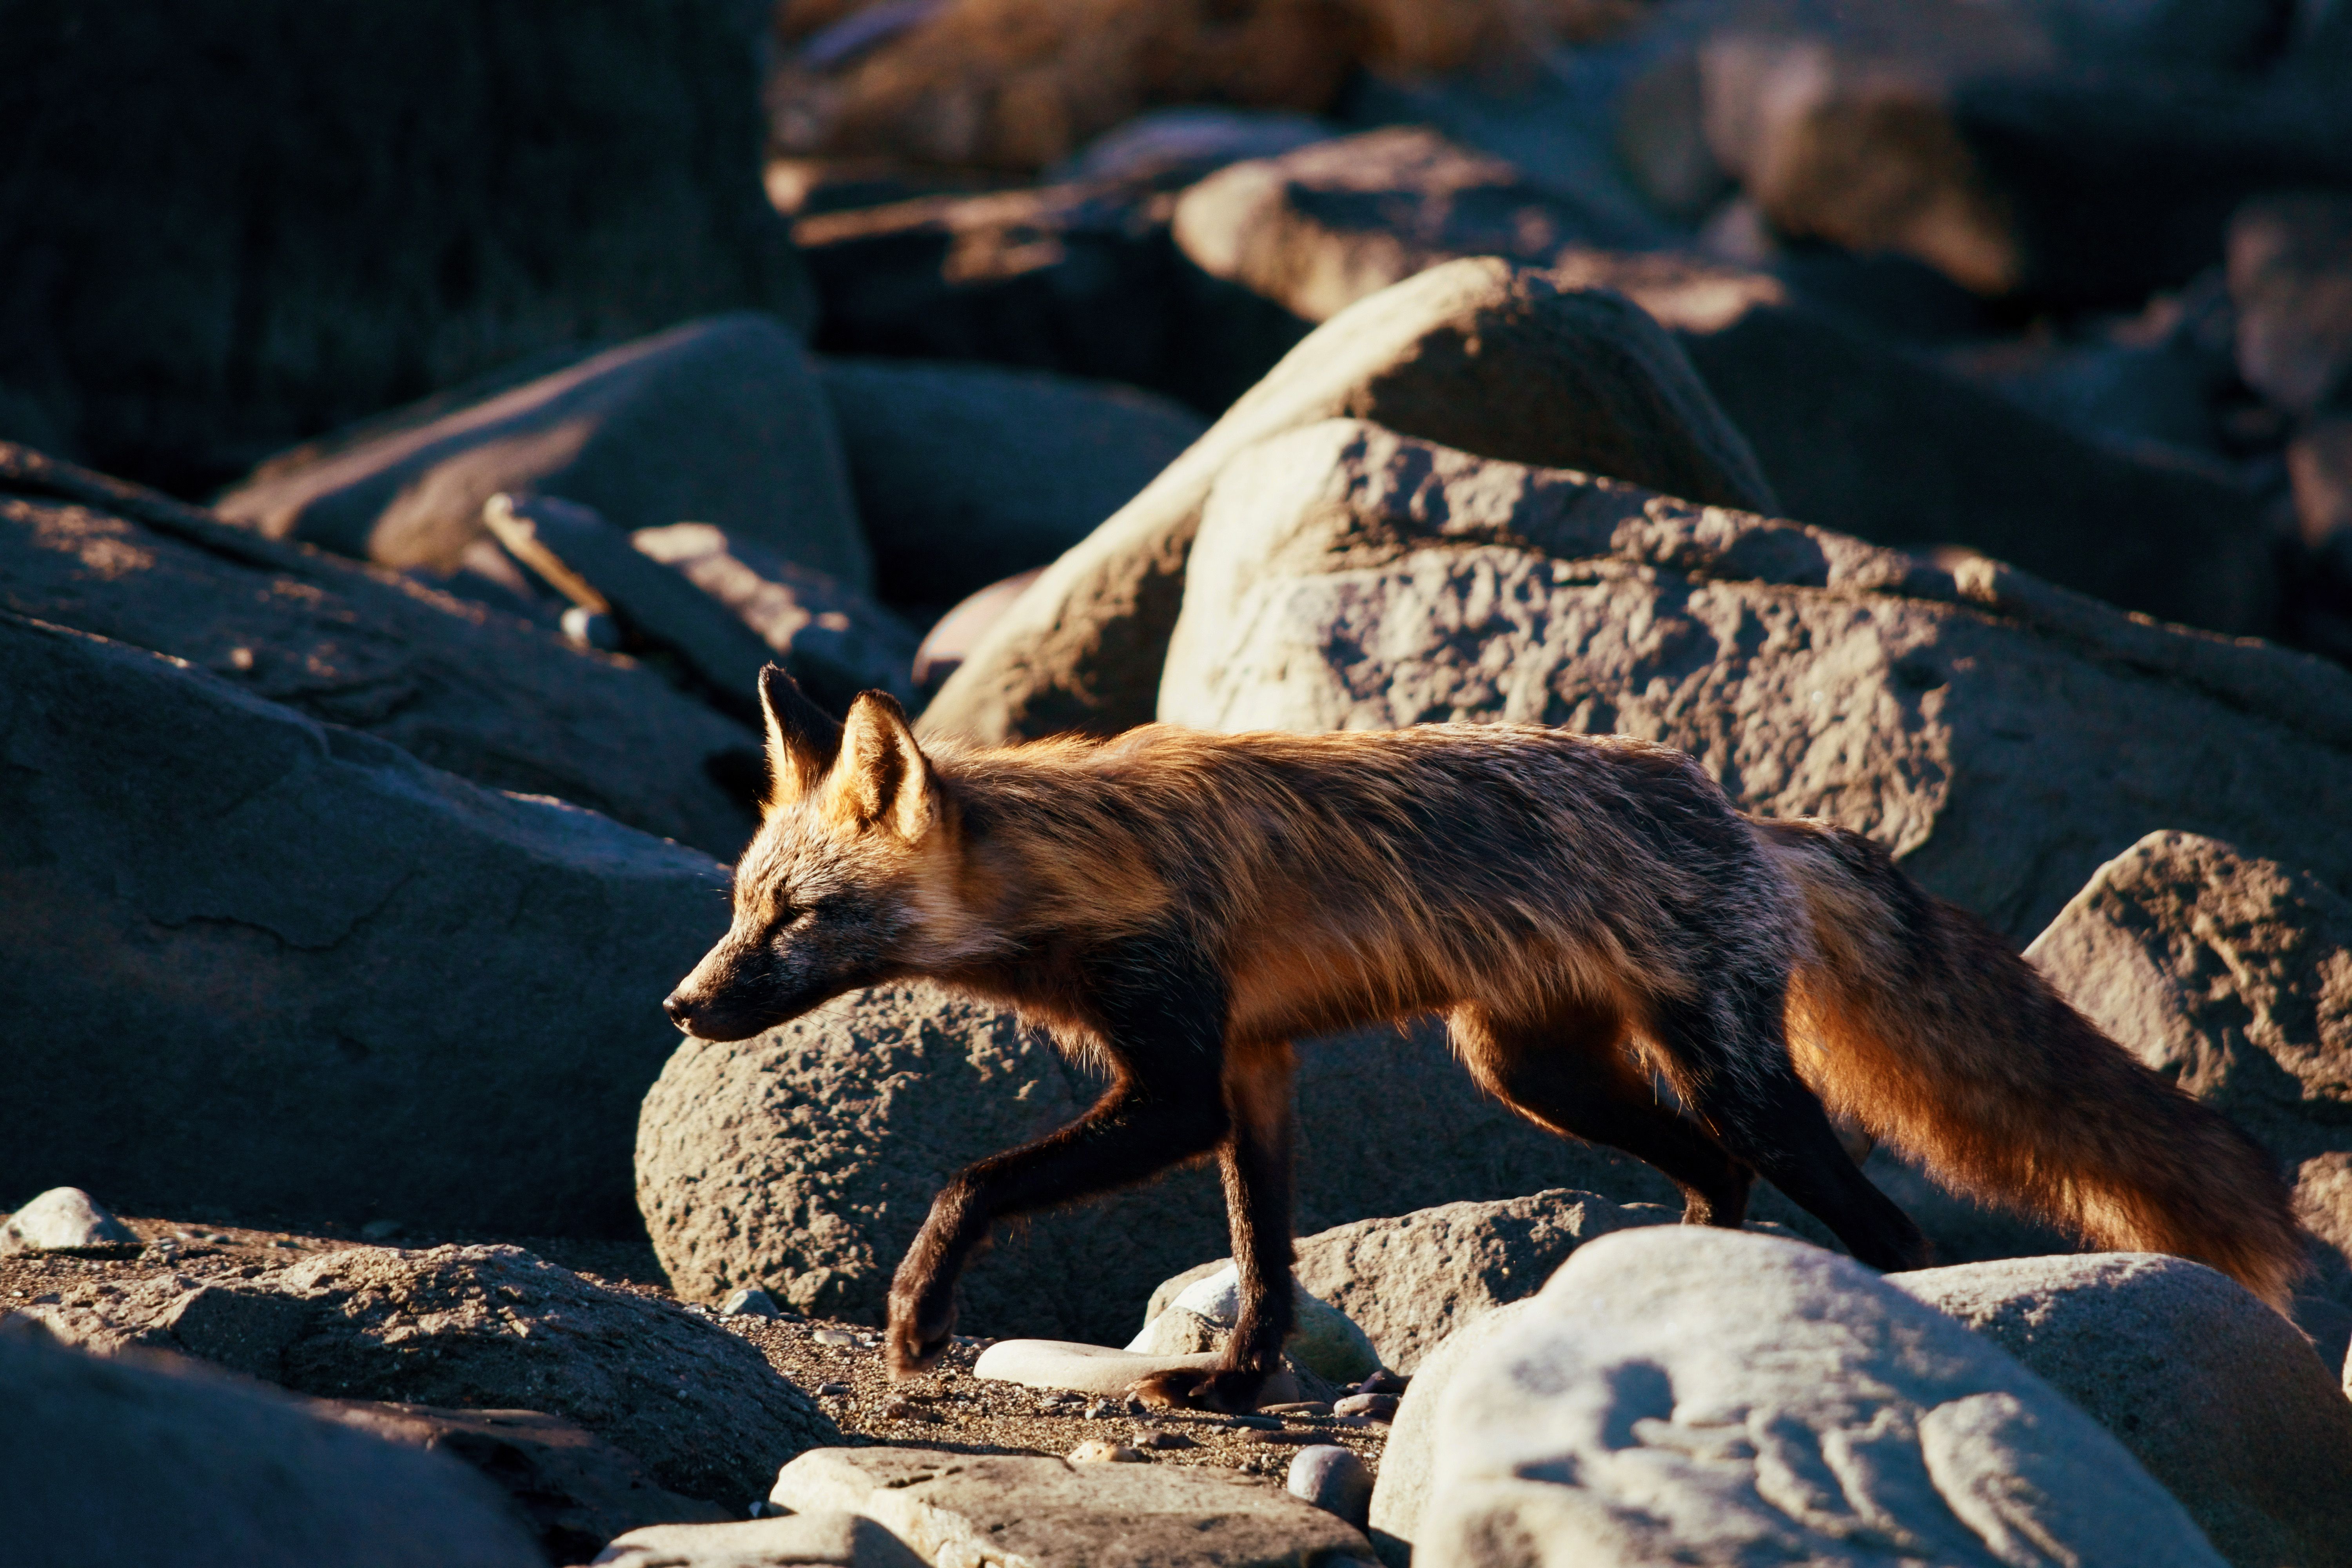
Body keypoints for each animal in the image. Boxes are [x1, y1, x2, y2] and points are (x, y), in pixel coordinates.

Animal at [665, 666, 2307, 1411]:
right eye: (743, 908)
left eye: (792, 919)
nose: (682, 1007)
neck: (1089, 862)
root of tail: (1749, 817)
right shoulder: (1253, 1070)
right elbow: (1266, 1256)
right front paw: (1235, 1383)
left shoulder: (1179, 1068)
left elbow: (970, 1182)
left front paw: (916, 1319)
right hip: (1535, 1071)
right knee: (1716, 1180)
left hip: (1725, 1079)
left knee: (1875, 1220)